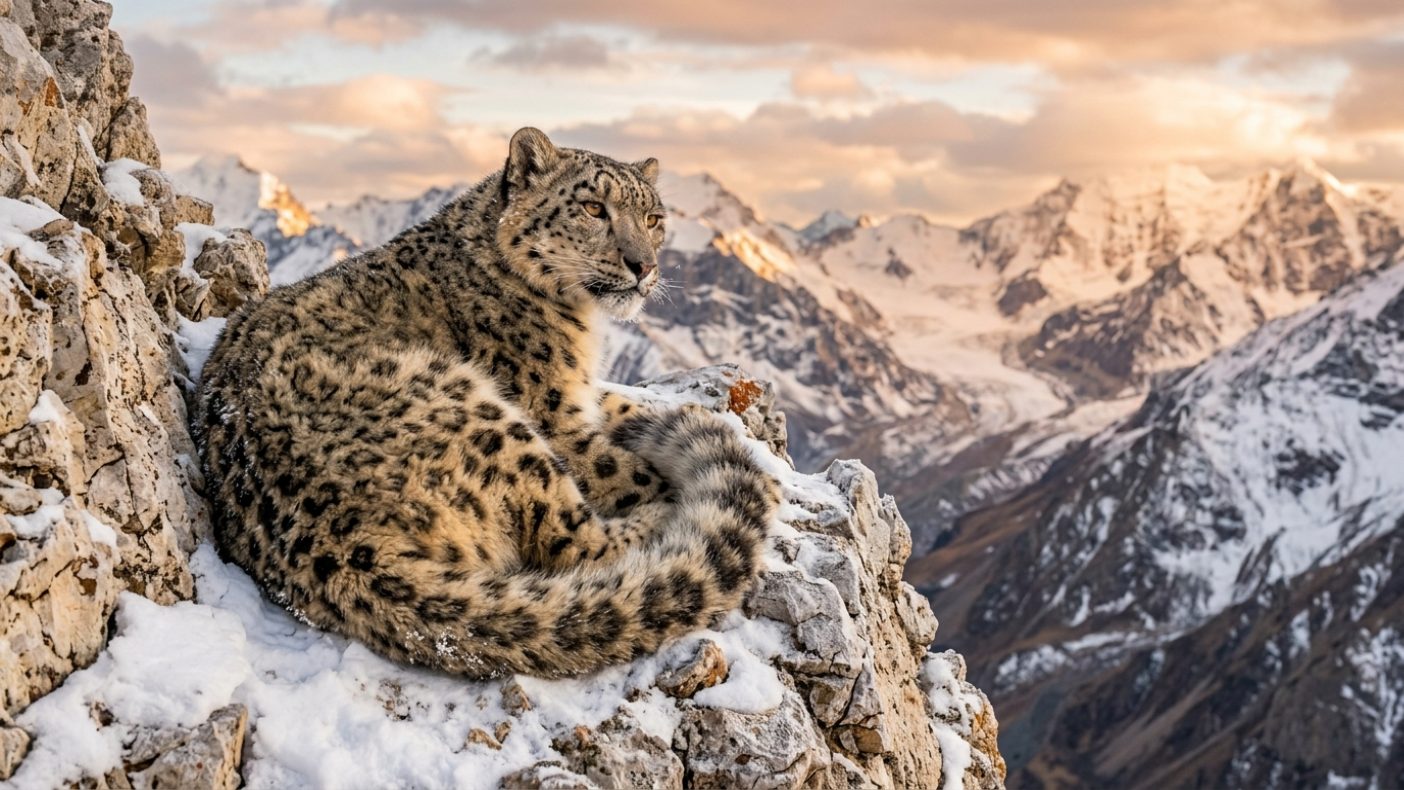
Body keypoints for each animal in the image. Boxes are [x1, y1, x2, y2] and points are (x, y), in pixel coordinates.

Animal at [195, 128, 779, 679]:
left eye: (654, 217)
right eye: (594, 208)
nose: (644, 266)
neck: (582, 328)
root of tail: (340, 554)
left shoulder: (577, 394)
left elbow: (627, 407)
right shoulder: (553, 415)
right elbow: (619, 465)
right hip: (489, 418)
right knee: (574, 540)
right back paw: (661, 514)